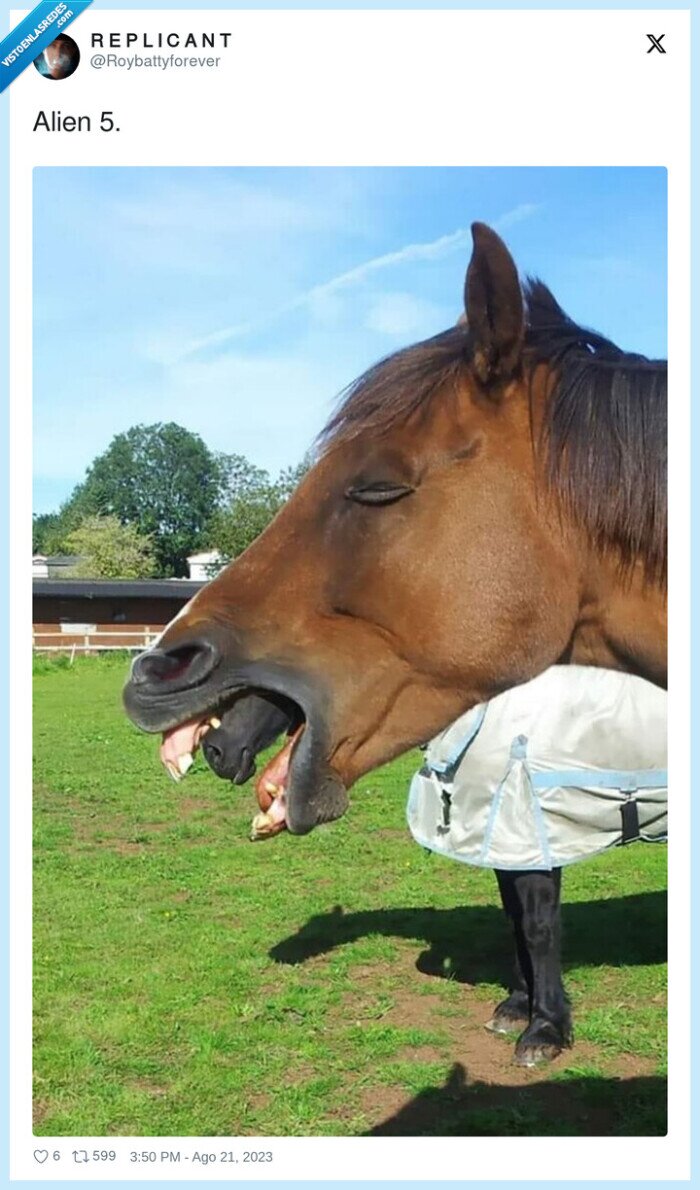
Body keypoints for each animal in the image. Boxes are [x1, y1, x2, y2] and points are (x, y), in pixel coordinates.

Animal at [123, 222, 667, 1066]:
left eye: (377, 486)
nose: (157, 672)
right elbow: (514, 914)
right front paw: (519, 1006)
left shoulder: (527, 831)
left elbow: (536, 919)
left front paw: (544, 1028)